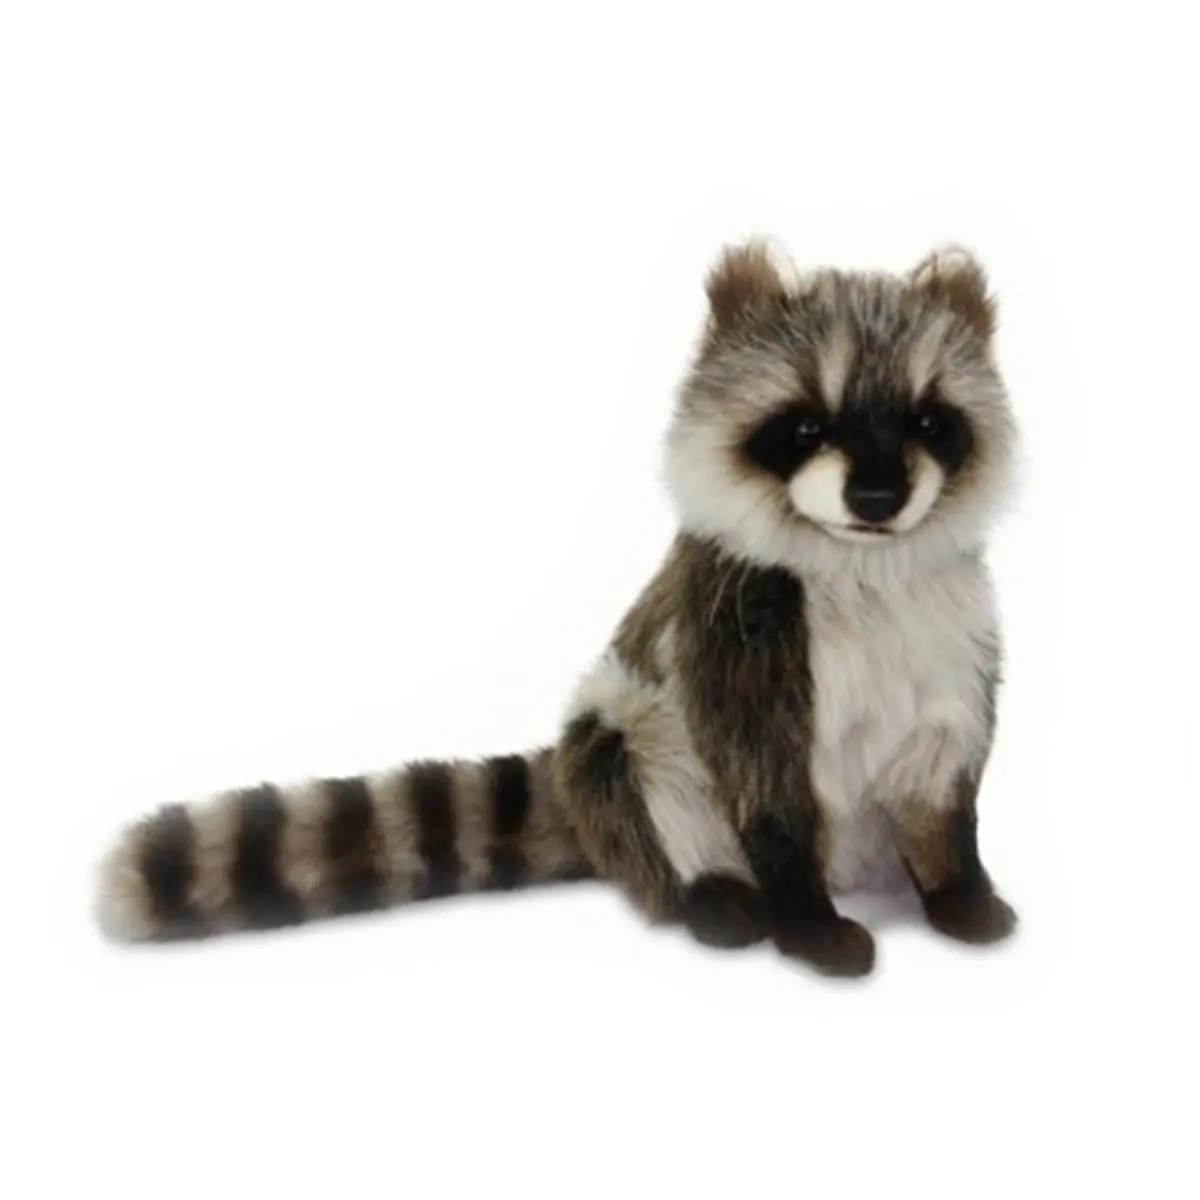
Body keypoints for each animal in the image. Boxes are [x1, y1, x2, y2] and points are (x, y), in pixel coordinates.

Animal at [95, 239, 1018, 977]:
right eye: (804, 428)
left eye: (928, 421)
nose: (877, 496)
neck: (863, 560)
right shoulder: (740, 636)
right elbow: (766, 785)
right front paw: (804, 915)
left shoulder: (955, 630)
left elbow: (944, 775)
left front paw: (957, 880)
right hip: (630, 742)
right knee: (634, 755)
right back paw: (714, 893)